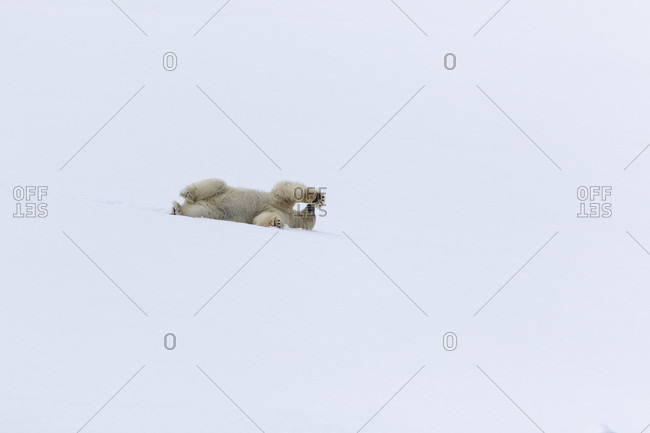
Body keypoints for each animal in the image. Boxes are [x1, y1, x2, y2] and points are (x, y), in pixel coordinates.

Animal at [171, 179, 326, 230]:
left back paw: (177, 209)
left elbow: (260, 217)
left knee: (198, 210)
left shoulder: (284, 214)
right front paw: (317, 197)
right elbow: (283, 190)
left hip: (210, 209)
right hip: (219, 192)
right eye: (314, 215)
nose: (311, 208)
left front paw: (276, 222)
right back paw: (187, 193)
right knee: (216, 183)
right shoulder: (279, 202)